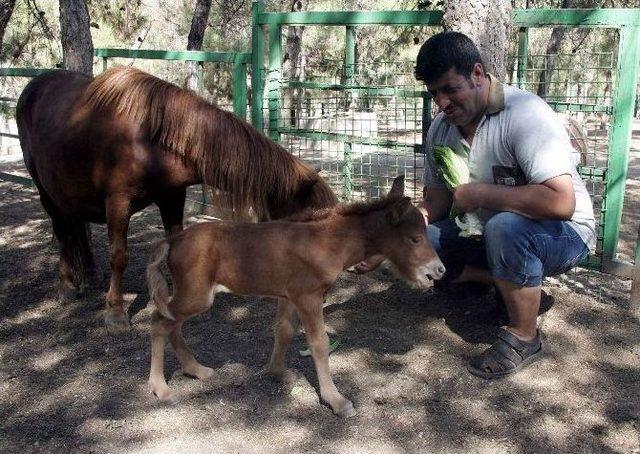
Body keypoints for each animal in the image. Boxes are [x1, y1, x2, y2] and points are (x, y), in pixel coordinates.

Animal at [15, 66, 338, 326]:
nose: (323, 293)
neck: (150, 140)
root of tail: (34, 86)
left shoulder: (173, 196)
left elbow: (175, 242)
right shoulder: (117, 202)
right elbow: (119, 256)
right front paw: (116, 312)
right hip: (45, 192)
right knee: (62, 232)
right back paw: (67, 286)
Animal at [145, 176, 444, 416]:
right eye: (415, 239)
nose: (439, 270)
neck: (327, 242)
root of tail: (173, 240)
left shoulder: (288, 296)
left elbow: (284, 330)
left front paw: (277, 373)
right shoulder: (309, 296)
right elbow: (320, 343)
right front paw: (336, 400)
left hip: (193, 296)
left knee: (172, 324)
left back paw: (196, 370)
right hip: (196, 295)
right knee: (160, 322)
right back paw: (161, 388)